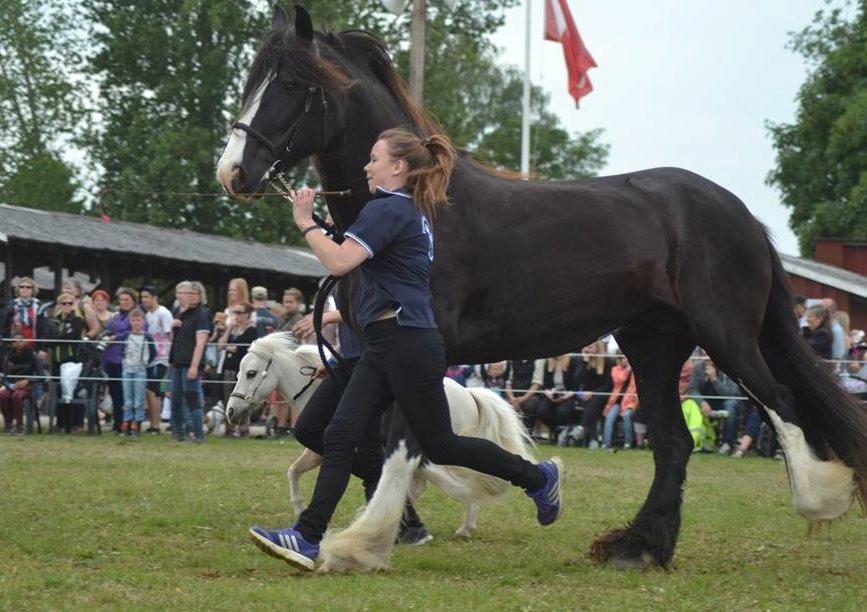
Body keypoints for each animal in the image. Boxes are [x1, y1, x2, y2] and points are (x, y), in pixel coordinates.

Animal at [224, 332, 536, 572]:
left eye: (251, 373)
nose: (231, 412)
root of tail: (471, 395)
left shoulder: (328, 450)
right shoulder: (322, 452)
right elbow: (296, 471)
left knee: (471, 481)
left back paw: (462, 528)